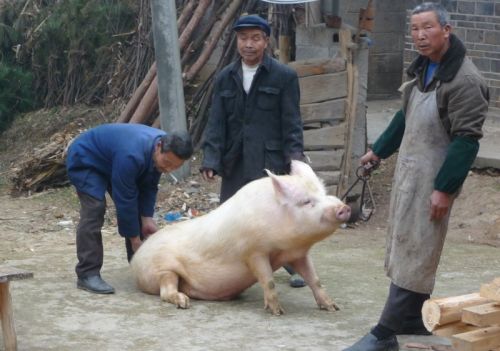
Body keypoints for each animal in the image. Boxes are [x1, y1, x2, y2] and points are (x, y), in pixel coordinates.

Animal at [129, 161, 350, 314]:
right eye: (306, 201)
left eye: (324, 193)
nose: (344, 208)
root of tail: (137, 256)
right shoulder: (254, 252)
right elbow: (268, 280)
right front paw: (278, 312)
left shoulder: (298, 254)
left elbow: (315, 279)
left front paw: (333, 307)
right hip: (162, 269)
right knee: (166, 290)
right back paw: (184, 303)